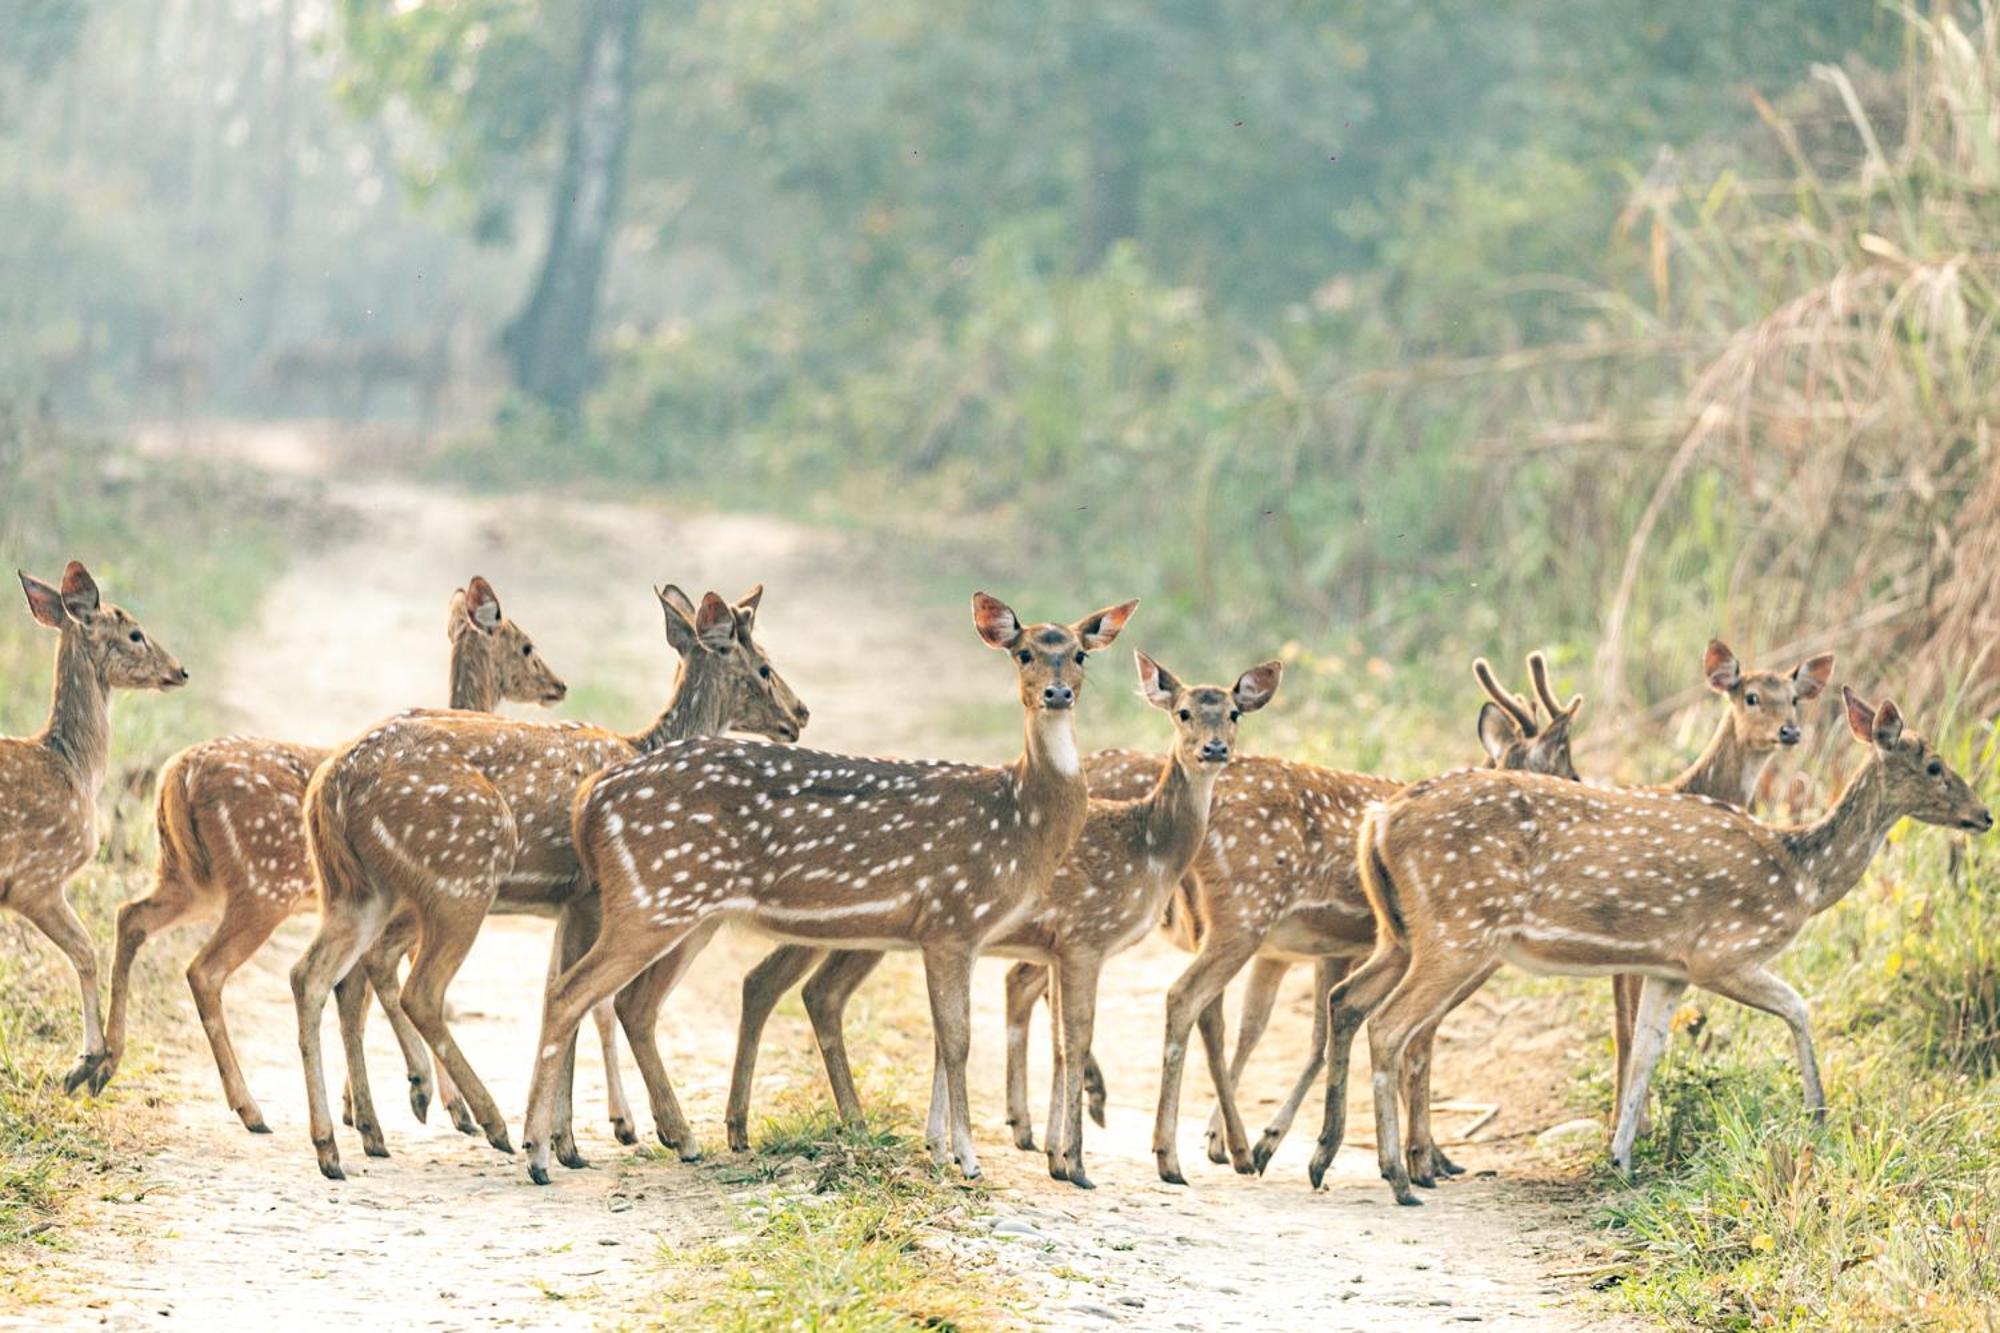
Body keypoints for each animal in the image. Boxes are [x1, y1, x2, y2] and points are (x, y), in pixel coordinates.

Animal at [4, 560, 188, 1088]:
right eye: (135, 633)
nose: (180, 670)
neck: (73, 768)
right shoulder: (36, 879)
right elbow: (86, 951)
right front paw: (87, 1061)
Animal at [101, 576, 576, 1128]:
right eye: (526, 645)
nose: (559, 685)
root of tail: (177, 773)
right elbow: (388, 987)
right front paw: (435, 1103)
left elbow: (365, 988)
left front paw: (366, 1106)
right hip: (261, 888)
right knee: (206, 969)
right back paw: (251, 1108)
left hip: (189, 878)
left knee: (131, 916)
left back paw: (99, 1064)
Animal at [290, 580, 804, 1176]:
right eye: (764, 665)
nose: (800, 714)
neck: (644, 742)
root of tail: (330, 784)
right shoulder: (591, 895)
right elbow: (577, 998)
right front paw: (584, 1139)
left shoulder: (569, 902)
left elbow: (553, 994)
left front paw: (565, 1142)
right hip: (461, 877)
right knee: (418, 988)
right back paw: (486, 1121)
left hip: (356, 889)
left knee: (314, 976)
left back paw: (340, 1143)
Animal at [520, 596, 1144, 1176]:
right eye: (1024, 653)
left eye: (1080, 654)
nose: (1057, 694)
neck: (1017, 817)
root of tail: (590, 801)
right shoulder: (952, 918)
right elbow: (958, 1038)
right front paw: (966, 1159)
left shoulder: (947, 933)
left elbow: (947, 1038)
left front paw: (942, 1151)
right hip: (654, 898)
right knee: (570, 992)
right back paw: (540, 1153)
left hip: (686, 910)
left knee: (625, 999)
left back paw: (669, 1139)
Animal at [1320, 684, 1992, 1200]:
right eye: (1935, 765)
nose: (1984, 814)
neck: (1799, 876)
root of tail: (1379, 820)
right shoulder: (1721, 952)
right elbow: (1801, 1008)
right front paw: (1818, 1119)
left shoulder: (1672, 968)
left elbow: (1645, 1050)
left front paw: (1620, 1158)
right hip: (1460, 928)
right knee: (1390, 1025)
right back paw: (1397, 1177)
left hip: (1402, 934)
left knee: (1346, 999)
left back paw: (1327, 1161)